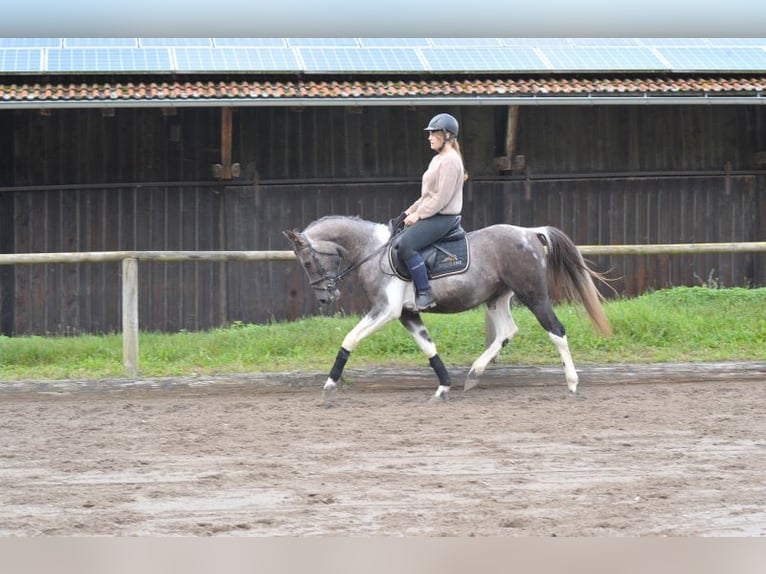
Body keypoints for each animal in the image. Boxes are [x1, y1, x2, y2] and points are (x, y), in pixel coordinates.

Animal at [284, 215, 616, 400]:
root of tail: (529, 232)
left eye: (308, 262)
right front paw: (444, 387)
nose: (325, 298)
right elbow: (428, 347)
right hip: (497, 297)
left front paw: (330, 385)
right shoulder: (407, 314)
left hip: (533, 295)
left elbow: (349, 339)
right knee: (507, 331)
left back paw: (572, 384)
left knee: (556, 331)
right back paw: (473, 374)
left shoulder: (386, 311)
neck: (373, 252)